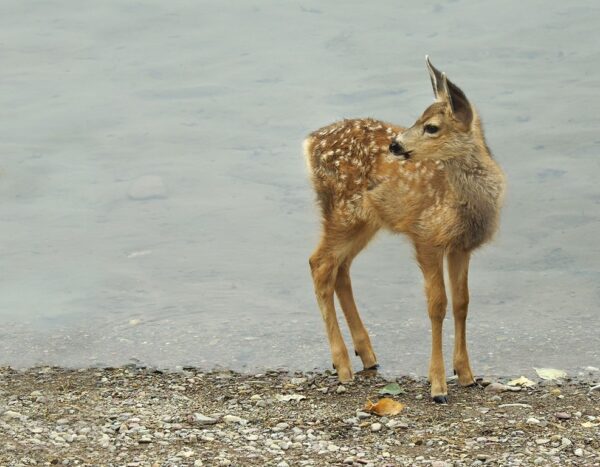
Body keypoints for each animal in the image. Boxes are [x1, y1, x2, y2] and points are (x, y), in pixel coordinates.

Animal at [302, 57, 504, 402]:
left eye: (431, 126)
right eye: (417, 118)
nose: (395, 145)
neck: (464, 204)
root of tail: (310, 142)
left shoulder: (461, 246)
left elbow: (462, 303)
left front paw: (466, 374)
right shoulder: (426, 236)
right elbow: (437, 305)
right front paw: (438, 386)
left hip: (365, 221)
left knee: (340, 268)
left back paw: (366, 354)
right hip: (343, 212)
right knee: (320, 263)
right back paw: (343, 365)